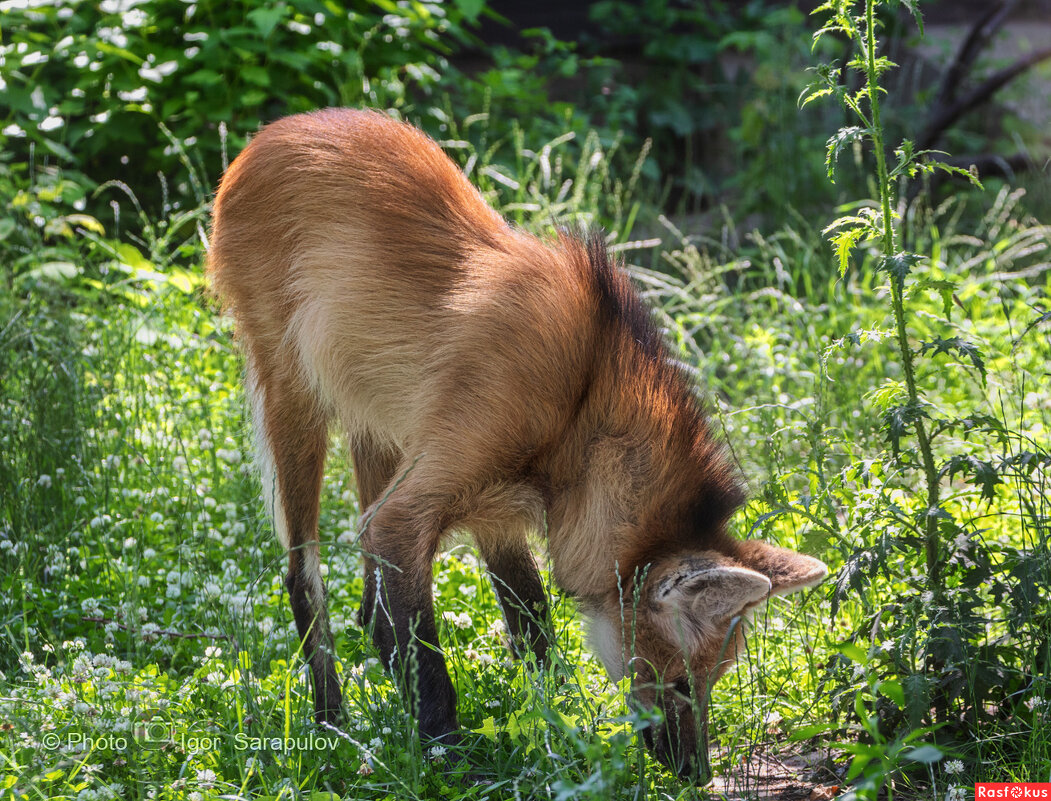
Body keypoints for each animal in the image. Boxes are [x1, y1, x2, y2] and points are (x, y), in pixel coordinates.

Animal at [207, 106, 828, 773]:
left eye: (711, 685)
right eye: (683, 683)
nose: (695, 773)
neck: (578, 413)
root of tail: (272, 133)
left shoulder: (498, 505)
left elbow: (532, 624)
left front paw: (559, 733)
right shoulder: (414, 509)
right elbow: (431, 661)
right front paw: (450, 760)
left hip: (379, 424)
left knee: (371, 608)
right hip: (296, 396)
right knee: (304, 576)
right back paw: (332, 730)